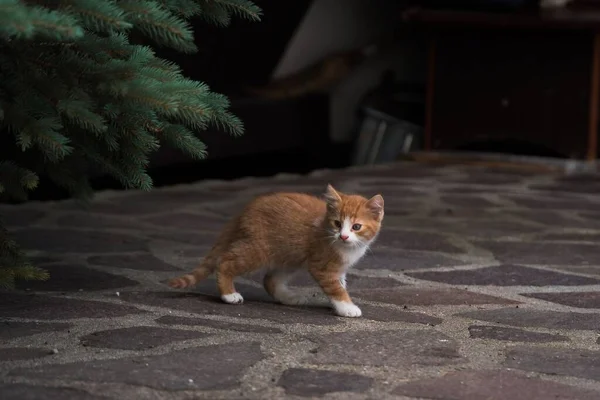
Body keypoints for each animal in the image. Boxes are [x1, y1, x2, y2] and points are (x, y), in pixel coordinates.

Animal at [169, 184, 384, 318]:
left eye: (356, 227)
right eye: (337, 223)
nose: (343, 236)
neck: (345, 247)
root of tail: (246, 209)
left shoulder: (339, 268)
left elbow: (340, 284)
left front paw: (339, 306)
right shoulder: (322, 266)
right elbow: (336, 288)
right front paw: (347, 307)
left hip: (290, 255)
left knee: (270, 279)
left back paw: (289, 298)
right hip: (258, 249)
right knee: (225, 262)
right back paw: (229, 294)